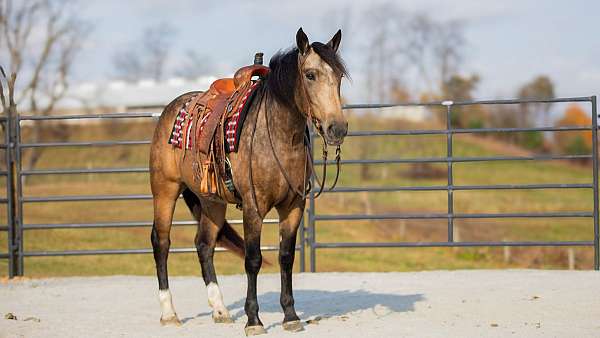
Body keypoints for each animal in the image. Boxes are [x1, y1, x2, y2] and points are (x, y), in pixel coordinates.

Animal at [148, 27, 350, 336]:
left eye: (339, 76)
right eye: (310, 74)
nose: (337, 128)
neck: (278, 137)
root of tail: (170, 109)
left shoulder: (293, 206)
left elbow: (286, 257)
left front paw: (290, 316)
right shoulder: (254, 209)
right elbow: (253, 260)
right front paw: (254, 320)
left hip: (211, 202)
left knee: (204, 244)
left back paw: (219, 310)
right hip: (165, 190)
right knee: (161, 242)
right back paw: (169, 313)